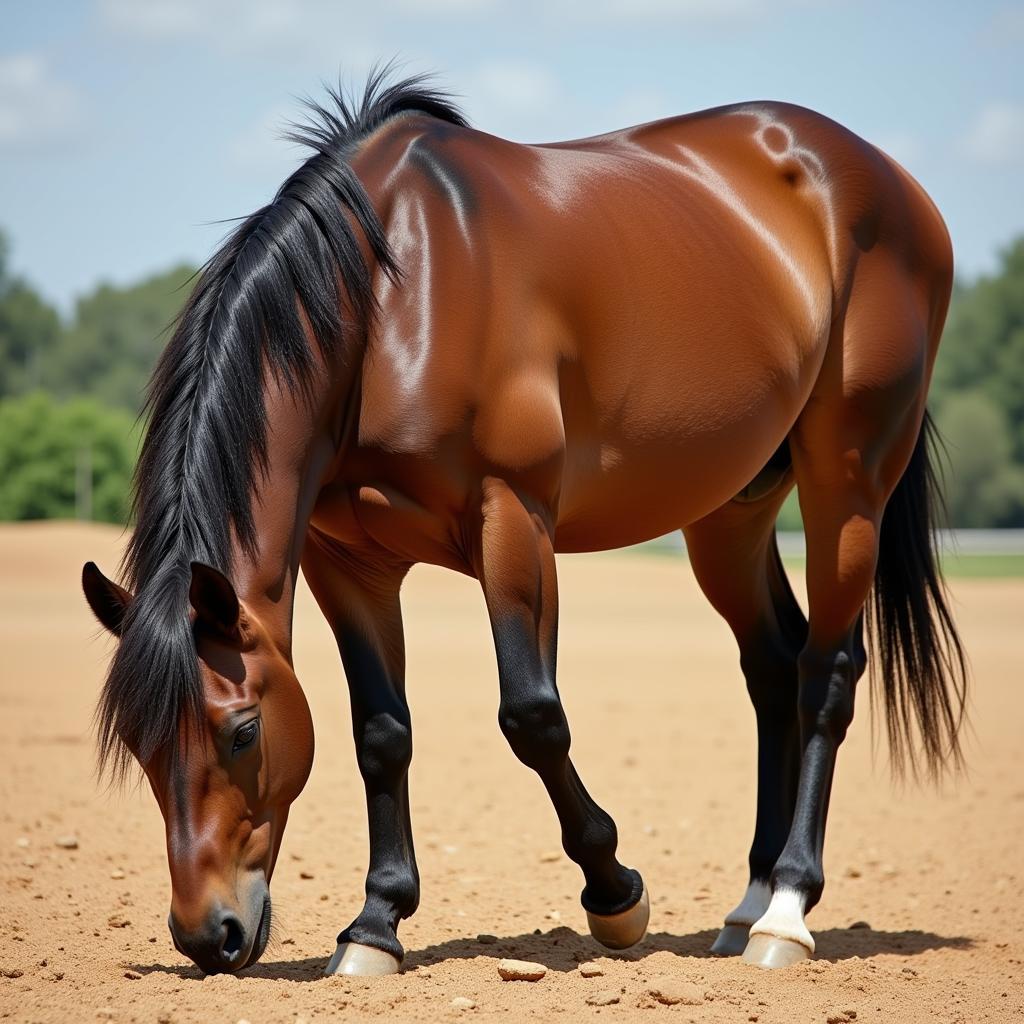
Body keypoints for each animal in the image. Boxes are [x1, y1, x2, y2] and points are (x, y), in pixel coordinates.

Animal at [81, 70, 966, 974]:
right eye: (140, 746)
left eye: (244, 732)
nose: (208, 934)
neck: (390, 295)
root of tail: (886, 177)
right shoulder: (346, 560)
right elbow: (380, 730)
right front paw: (374, 925)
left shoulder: (513, 520)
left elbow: (532, 716)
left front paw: (618, 898)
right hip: (731, 509)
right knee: (773, 666)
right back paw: (747, 904)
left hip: (848, 481)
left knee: (827, 672)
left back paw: (785, 912)